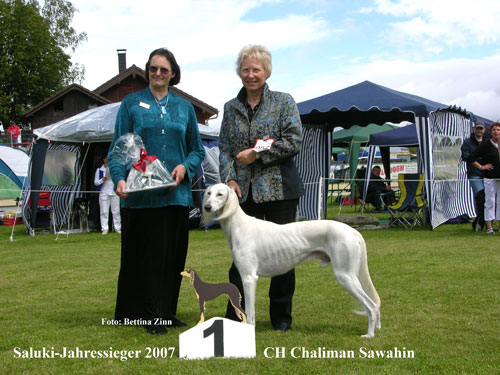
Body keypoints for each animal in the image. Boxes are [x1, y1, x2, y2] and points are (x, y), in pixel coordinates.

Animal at [201, 184, 380, 340]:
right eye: (208, 193)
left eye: (220, 194)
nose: (207, 207)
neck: (239, 225)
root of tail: (353, 231)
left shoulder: (249, 278)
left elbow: (250, 313)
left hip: (345, 275)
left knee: (371, 305)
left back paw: (369, 335)